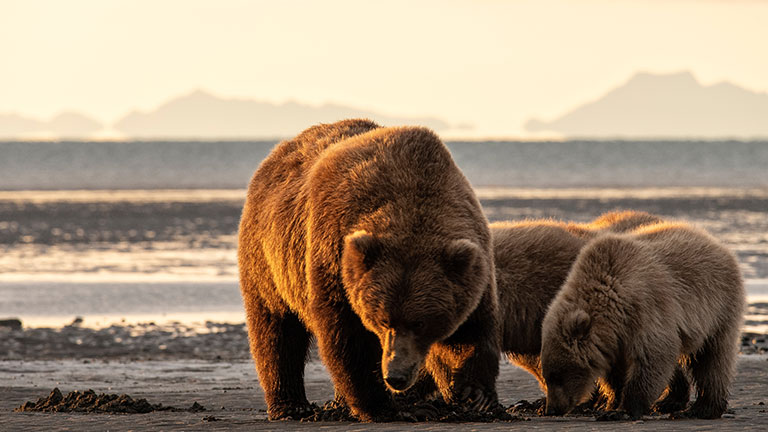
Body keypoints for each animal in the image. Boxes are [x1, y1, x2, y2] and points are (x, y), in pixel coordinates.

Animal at [238, 119, 500, 421]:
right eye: (383, 320)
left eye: (420, 323)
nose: (396, 376)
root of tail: (277, 154)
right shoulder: (336, 257)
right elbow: (349, 339)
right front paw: (387, 407)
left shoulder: (473, 266)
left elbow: (469, 332)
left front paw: (475, 394)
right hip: (269, 257)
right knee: (276, 328)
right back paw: (291, 405)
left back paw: (338, 404)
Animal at [540, 222, 745, 419]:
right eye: (548, 375)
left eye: (558, 375)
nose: (552, 409)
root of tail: (717, 244)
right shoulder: (615, 339)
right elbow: (618, 370)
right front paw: (611, 403)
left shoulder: (647, 309)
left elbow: (654, 356)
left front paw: (622, 410)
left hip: (717, 307)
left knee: (712, 359)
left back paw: (702, 409)